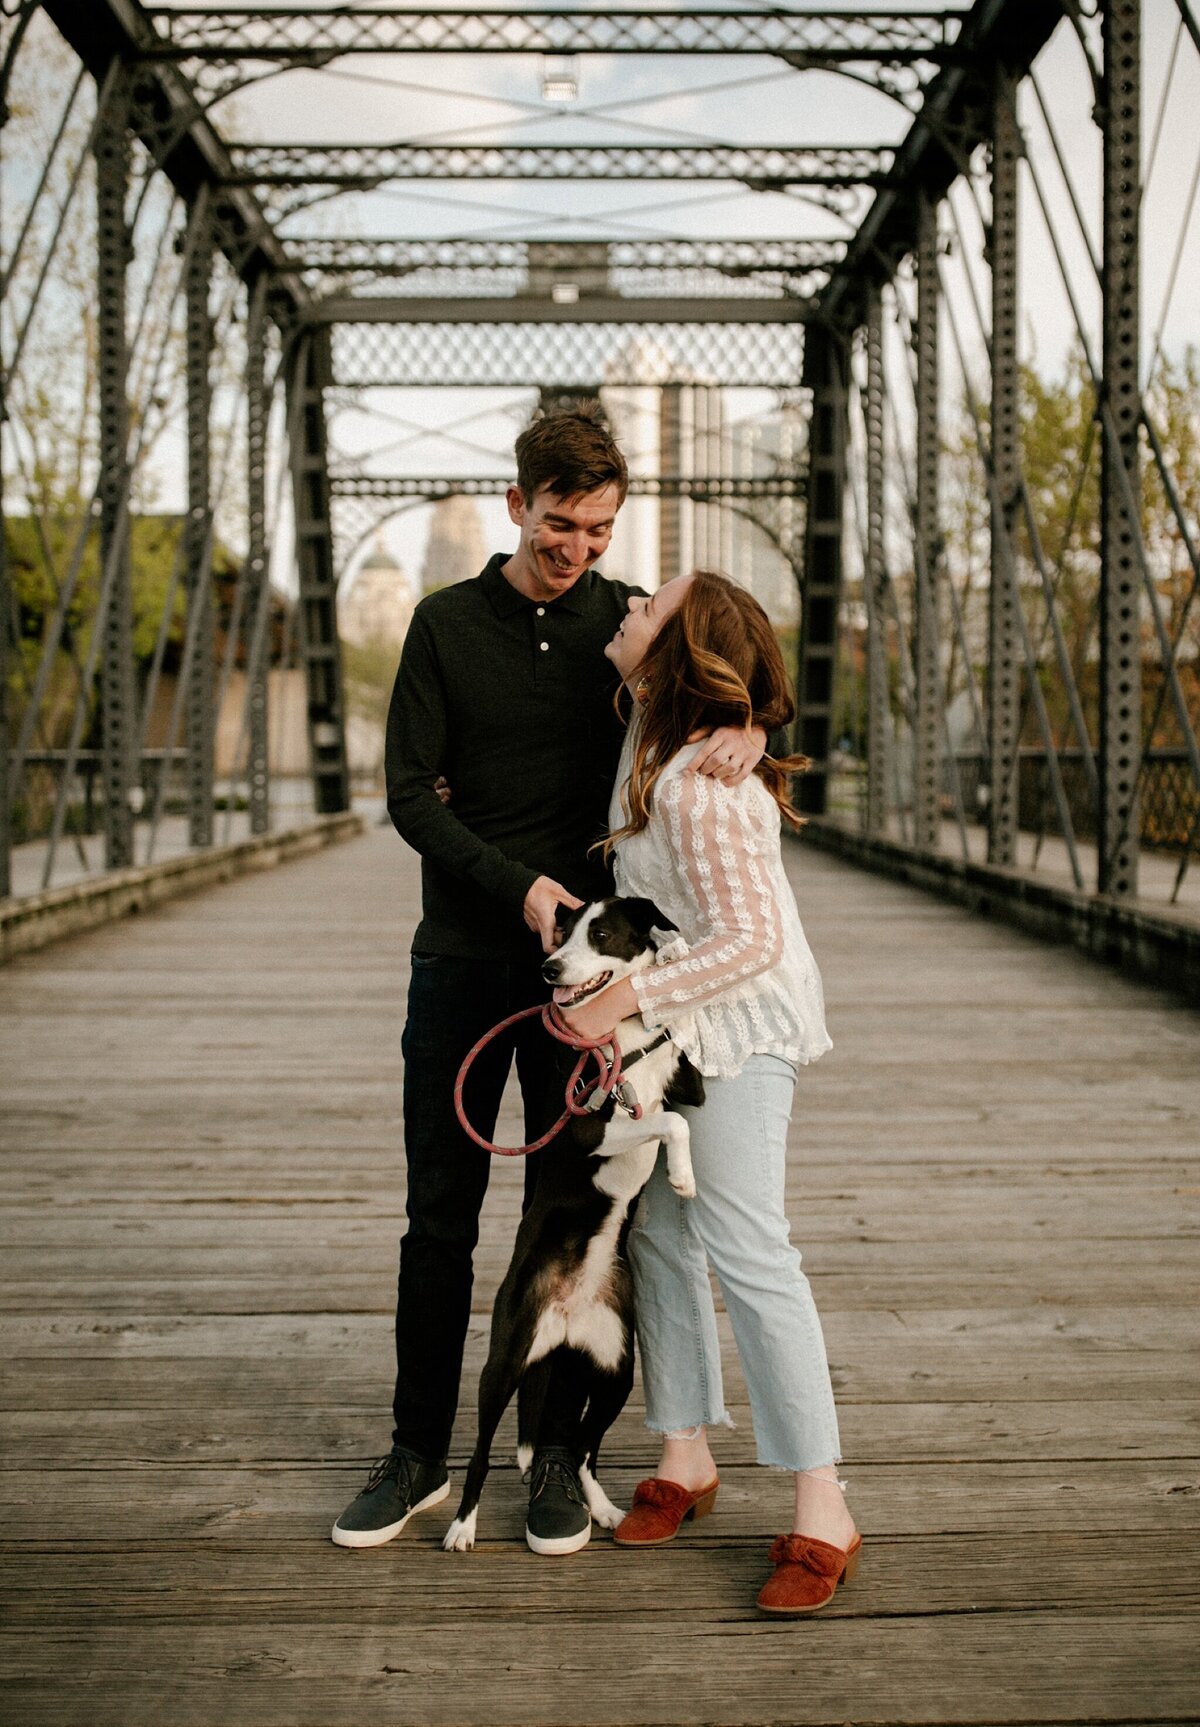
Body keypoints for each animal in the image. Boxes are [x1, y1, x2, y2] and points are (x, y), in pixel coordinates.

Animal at [442, 898, 704, 1561]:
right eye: (561, 933)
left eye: (601, 934)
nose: (550, 969)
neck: (625, 1035)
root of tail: (563, 1320)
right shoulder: (592, 1126)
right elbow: (667, 1122)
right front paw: (681, 1175)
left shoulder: (687, 1085)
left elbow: (680, 1101)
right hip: (505, 1361)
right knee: (481, 1455)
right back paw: (462, 1527)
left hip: (616, 1371)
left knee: (584, 1448)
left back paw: (605, 1508)